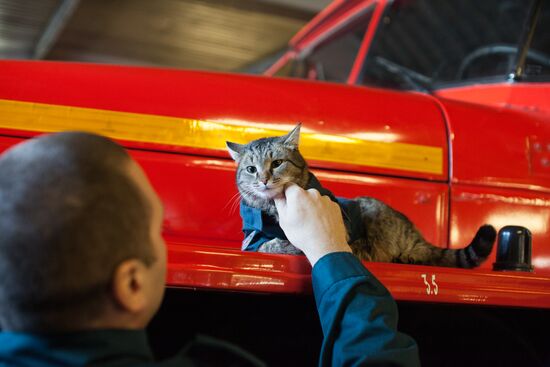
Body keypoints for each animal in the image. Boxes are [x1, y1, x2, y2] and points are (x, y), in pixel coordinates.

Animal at [226, 123, 498, 268]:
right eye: (251, 169)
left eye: (277, 163)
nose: (263, 179)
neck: (271, 210)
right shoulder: (251, 235)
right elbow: (259, 243)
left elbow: (281, 244)